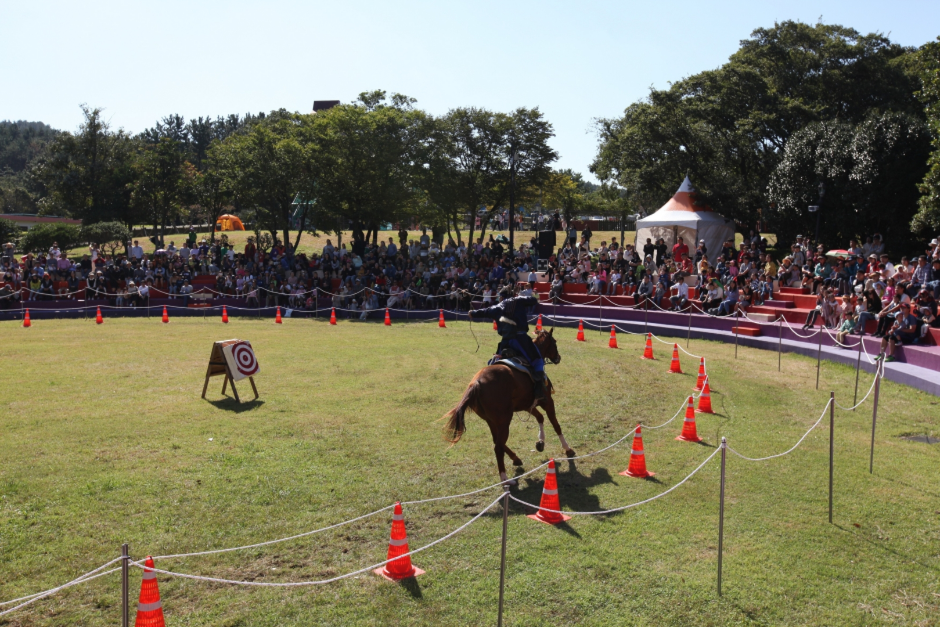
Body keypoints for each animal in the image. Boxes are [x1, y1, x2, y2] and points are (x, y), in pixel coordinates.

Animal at [444, 328, 576, 486]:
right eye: (554, 342)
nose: (558, 357)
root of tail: (476, 383)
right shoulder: (548, 402)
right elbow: (556, 425)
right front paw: (568, 449)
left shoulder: (527, 405)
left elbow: (540, 418)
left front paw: (540, 442)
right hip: (504, 420)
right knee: (498, 447)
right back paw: (505, 479)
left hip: (492, 421)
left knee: (497, 441)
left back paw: (516, 459)